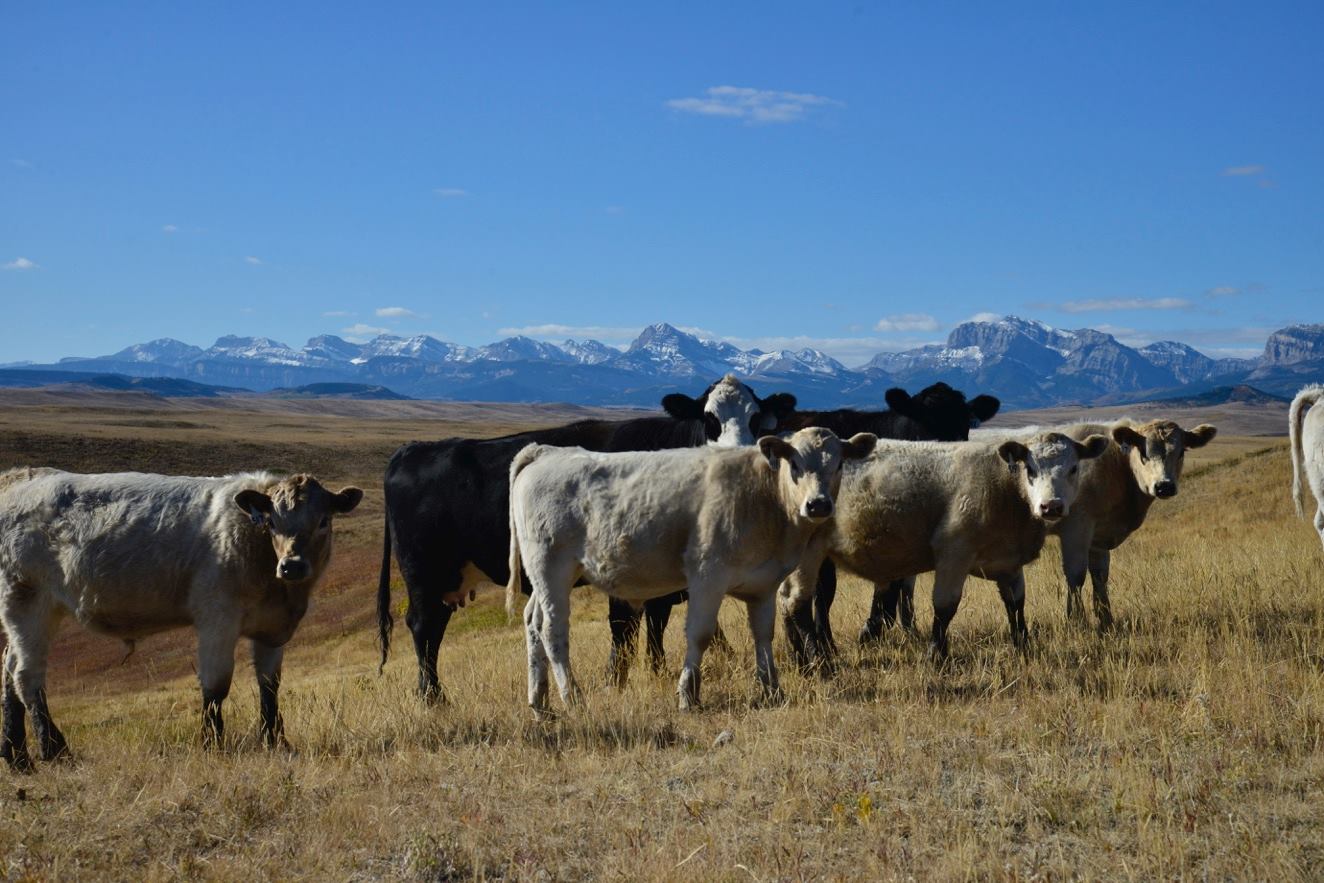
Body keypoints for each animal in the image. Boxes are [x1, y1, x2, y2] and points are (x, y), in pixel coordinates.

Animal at [378, 375, 789, 704]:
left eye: (756, 418)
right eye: (709, 418)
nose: (739, 457)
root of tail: (411, 449)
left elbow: (657, 624)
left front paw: (656, 672)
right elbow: (623, 628)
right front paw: (615, 682)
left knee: (434, 628)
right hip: (425, 572)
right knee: (423, 627)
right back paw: (433, 697)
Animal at [773, 381, 1000, 669]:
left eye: (964, 426)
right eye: (923, 420)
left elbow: (896, 588)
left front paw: (893, 629)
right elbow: (846, 591)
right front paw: (858, 635)